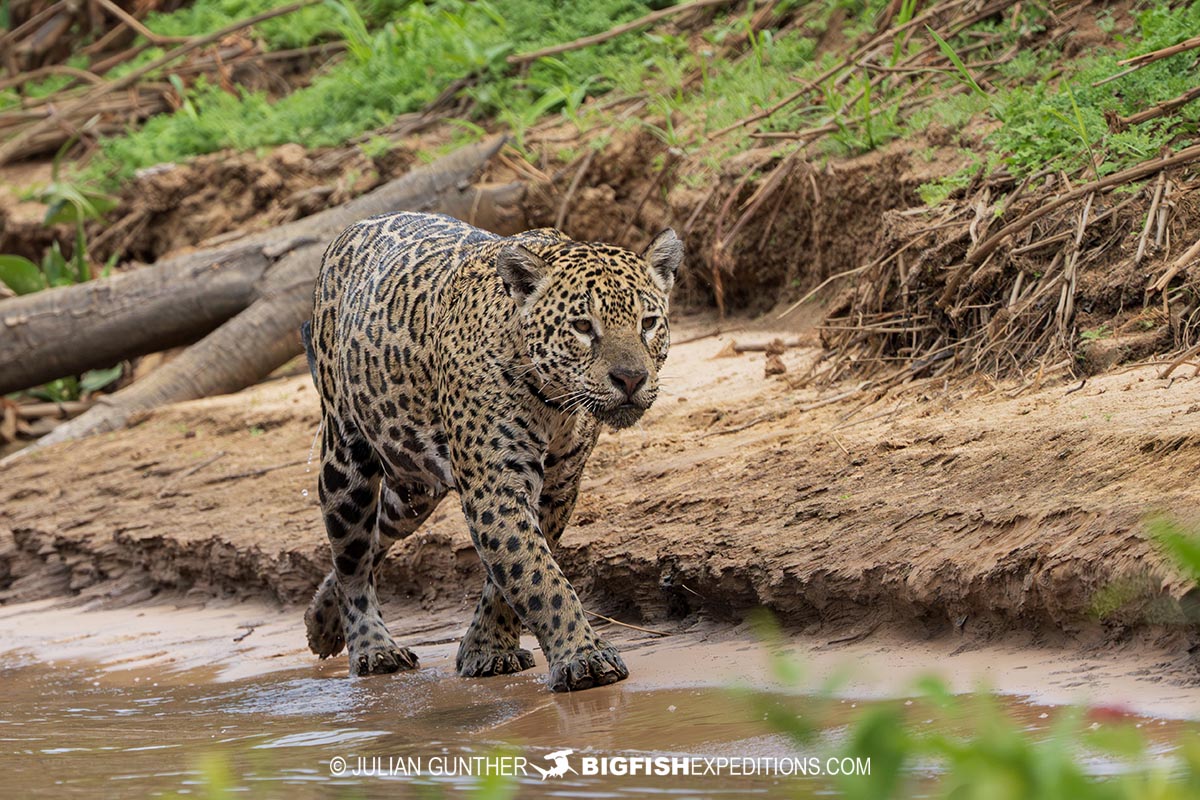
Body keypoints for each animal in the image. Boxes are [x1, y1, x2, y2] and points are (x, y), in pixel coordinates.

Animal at [300, 211, 682, 692]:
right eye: (581, 327)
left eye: (647, 323)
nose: (630, 379)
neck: (555, 405)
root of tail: (358, 224)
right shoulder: (495, 485)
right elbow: (538, 576)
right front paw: (584, 656)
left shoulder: (557, 488)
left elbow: (514, 574)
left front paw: (487, 648)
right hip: (346, 462)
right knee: (351, 557)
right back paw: (373, 648)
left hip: (413, 491)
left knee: (376, 537)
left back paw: (320, 621)